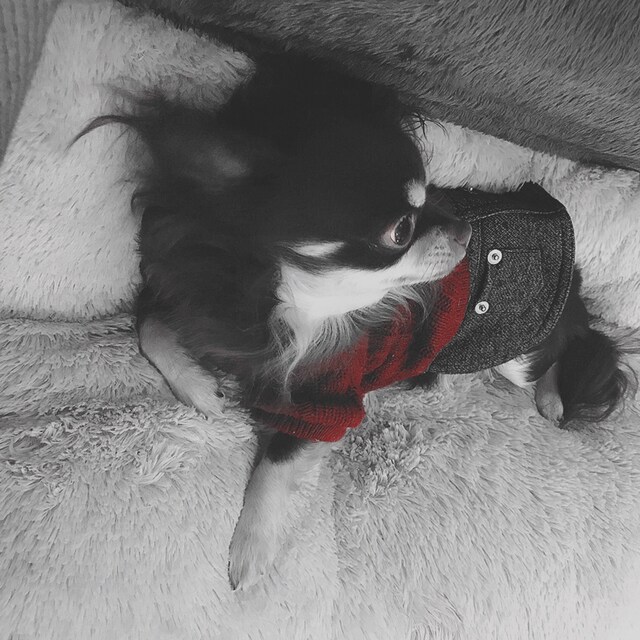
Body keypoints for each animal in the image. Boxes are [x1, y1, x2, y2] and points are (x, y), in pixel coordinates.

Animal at [77, 53, 633, 589]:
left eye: (435, 195)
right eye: (403, 229)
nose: (464, 229)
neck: (285, 302)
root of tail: (574, 279)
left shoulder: (324, 400)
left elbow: (273, 471)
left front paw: (251, 551)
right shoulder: (187, 293)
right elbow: (150, 327)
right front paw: (198, 386)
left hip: (517, 349)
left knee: (572, 343)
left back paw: (552, 397)